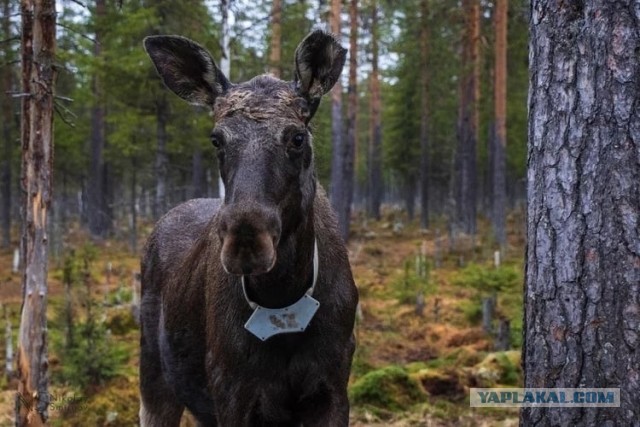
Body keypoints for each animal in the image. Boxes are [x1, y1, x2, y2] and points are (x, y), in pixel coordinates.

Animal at [139, 30, 359, 426]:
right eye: (216, 139)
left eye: (297, 137)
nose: (245, 241)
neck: (283, 295)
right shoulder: (232, 392)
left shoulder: (333, 387)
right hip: (155, 379)